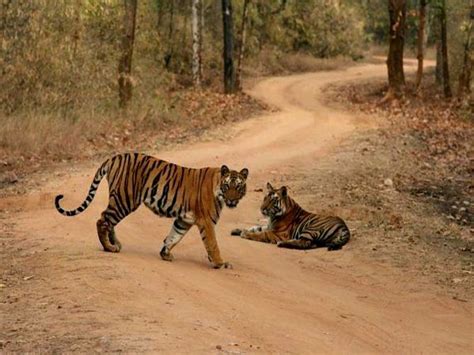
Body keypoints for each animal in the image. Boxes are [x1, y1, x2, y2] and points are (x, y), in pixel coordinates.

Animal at [55, 154, 248, 270]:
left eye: (238, 187)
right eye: (227, 186)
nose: (232, 200)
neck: (218, 188)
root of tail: (115, 156)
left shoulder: (183, 220)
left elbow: (174, 236)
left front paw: (165, 254)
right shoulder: (206, 221)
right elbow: (212, 244)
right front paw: (220, 263)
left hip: (120, 200)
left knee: (109, 221)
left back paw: (115, 244)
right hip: (125, 200)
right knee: (102, 220)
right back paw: (109, 247)